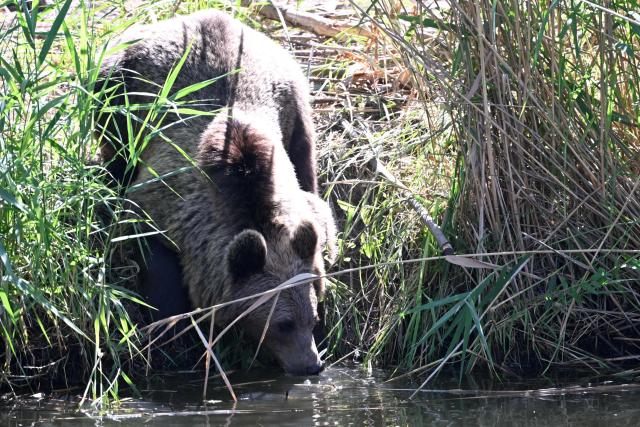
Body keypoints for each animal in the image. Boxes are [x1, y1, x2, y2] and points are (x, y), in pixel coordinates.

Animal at [95, 10, 336, 375]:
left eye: (313, 316)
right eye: (283, 324)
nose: (311, 364)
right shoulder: (163, 203)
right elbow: (154, 256)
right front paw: (168, 326)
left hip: (296, 95)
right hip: (117, 85)